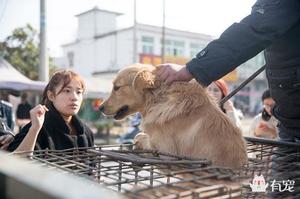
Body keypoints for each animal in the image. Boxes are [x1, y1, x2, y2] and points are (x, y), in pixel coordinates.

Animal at [99, 64, 247, 169]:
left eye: (117, 87)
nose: (99, 107)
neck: (157, 98)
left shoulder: (167, 151)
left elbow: (139, 136)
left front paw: (138, 142)